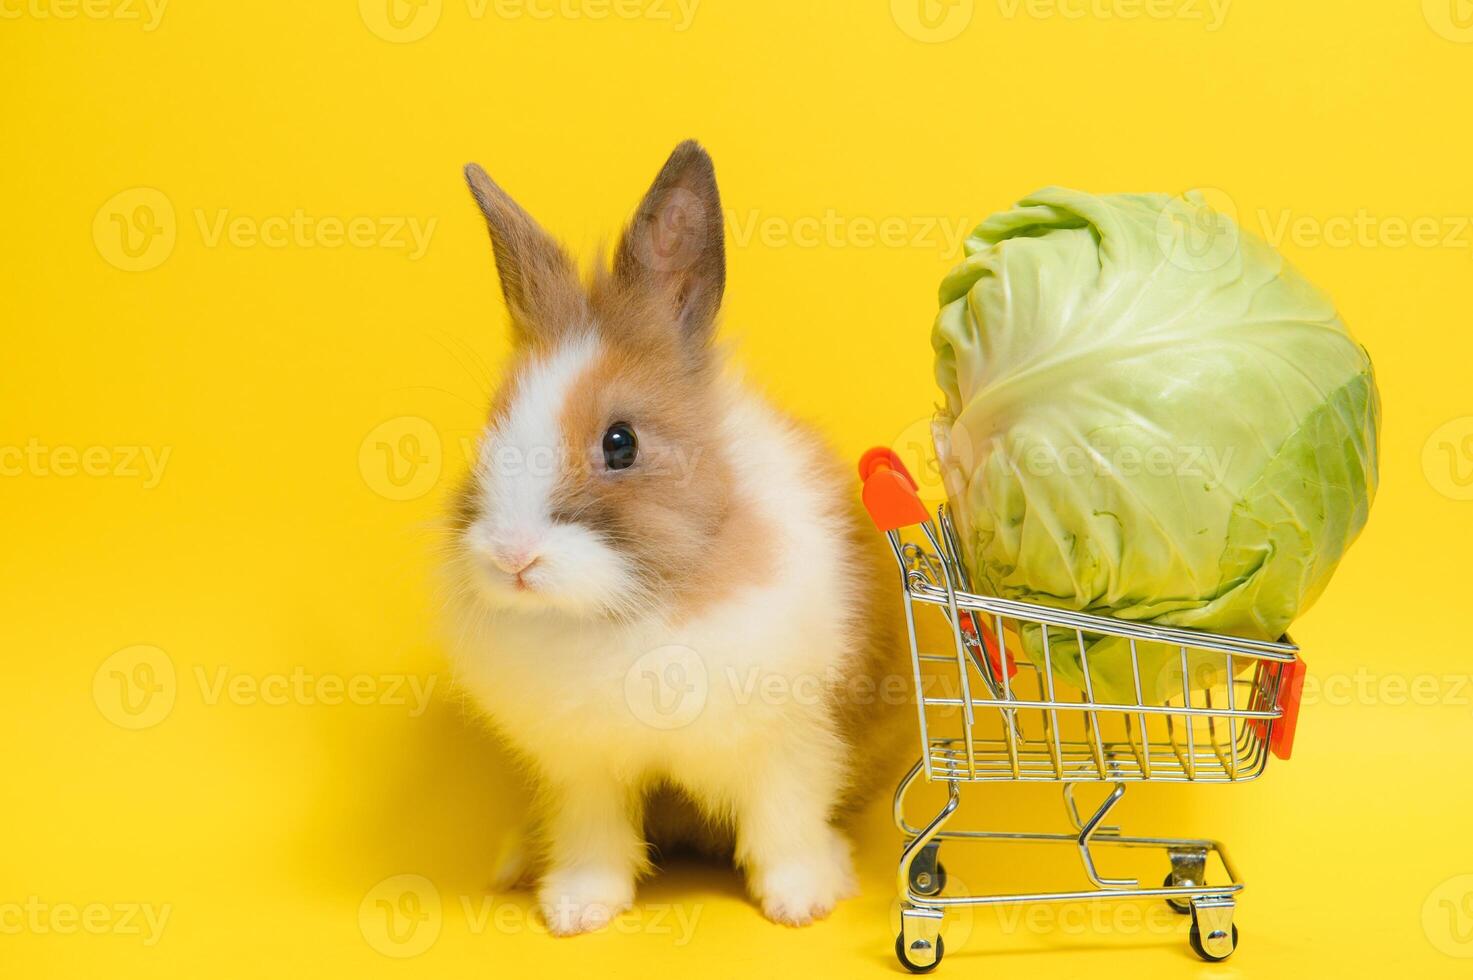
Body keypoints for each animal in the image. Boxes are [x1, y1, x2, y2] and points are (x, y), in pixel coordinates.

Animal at [441, 137, 913, 931]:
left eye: (620, 443)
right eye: (488, 433)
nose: (512, 558)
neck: (641, 608)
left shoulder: (790, 743)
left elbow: (784, 822)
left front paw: (801, 901)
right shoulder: (582, 769)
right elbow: (592, 834)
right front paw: (576, 910)